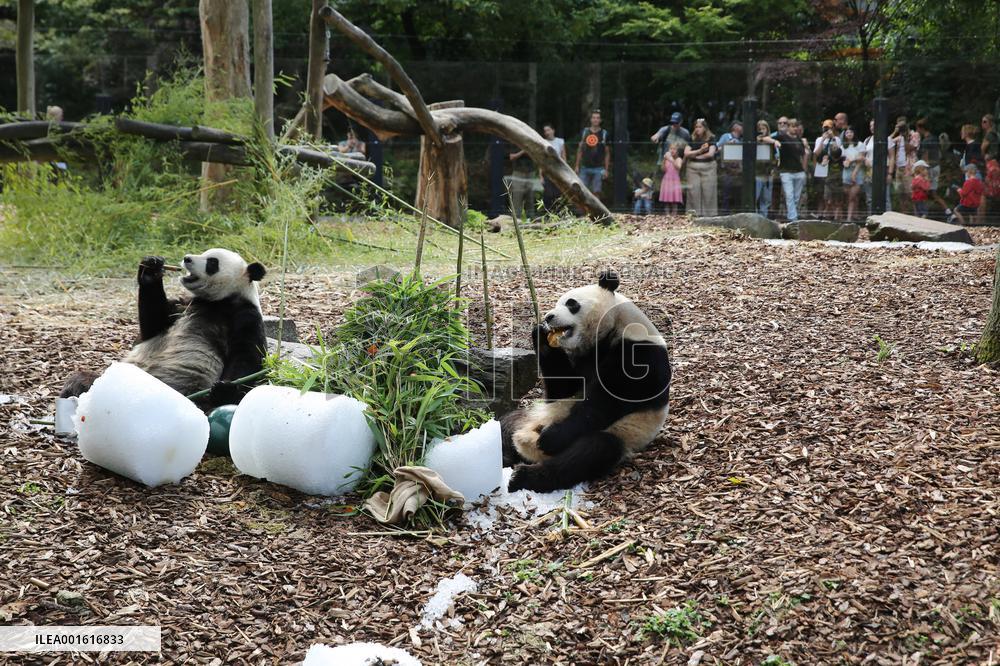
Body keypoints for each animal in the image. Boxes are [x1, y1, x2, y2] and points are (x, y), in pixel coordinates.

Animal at [61, 249, 268, 410]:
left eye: (212, 262)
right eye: (204, 253)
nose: (187, 258)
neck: (218, 301)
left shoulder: (244, 315)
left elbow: (247, 355)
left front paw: (225, 389)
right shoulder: (184, 304)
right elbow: (153, 326)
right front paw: (150, 269)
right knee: (84, 380)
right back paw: (77, 390)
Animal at [501, 271, 671, 492]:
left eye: (571, 303)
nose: (548, 317)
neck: (614, 327)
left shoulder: (639, 356)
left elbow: (602, 405)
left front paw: (551, 437)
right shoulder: (583, 359)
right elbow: (563, 389)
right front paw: (541, 335)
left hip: (626, 433)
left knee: (589, 453)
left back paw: (524, 475)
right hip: (532, 415)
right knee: (506, 423)